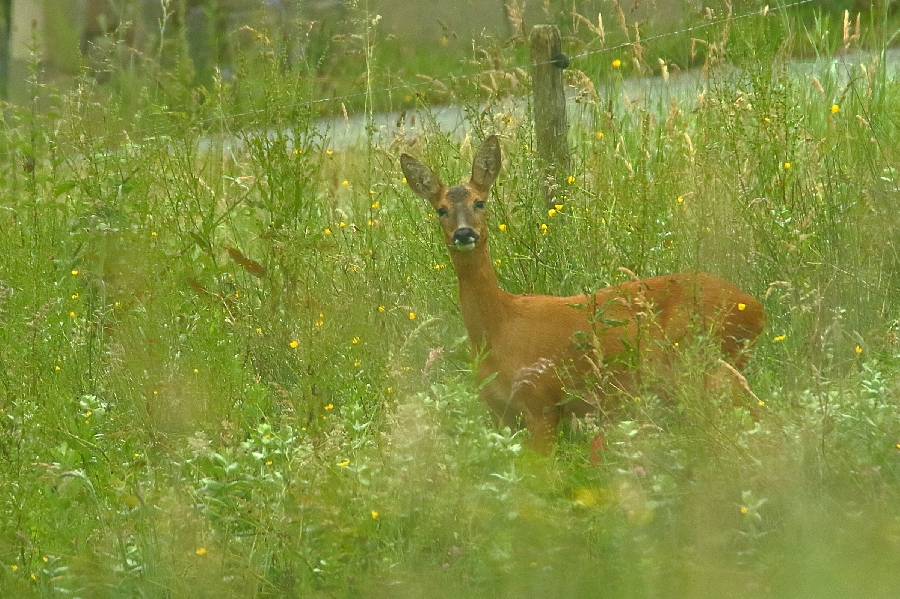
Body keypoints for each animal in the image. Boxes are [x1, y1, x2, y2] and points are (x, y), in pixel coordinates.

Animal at [400, 134, 768, 448]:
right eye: (441, 209)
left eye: (479, 202)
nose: (464, 234)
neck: (499, 329)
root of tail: (755, 306)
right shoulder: (499, 413)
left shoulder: (541, 402)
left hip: (707, 366)